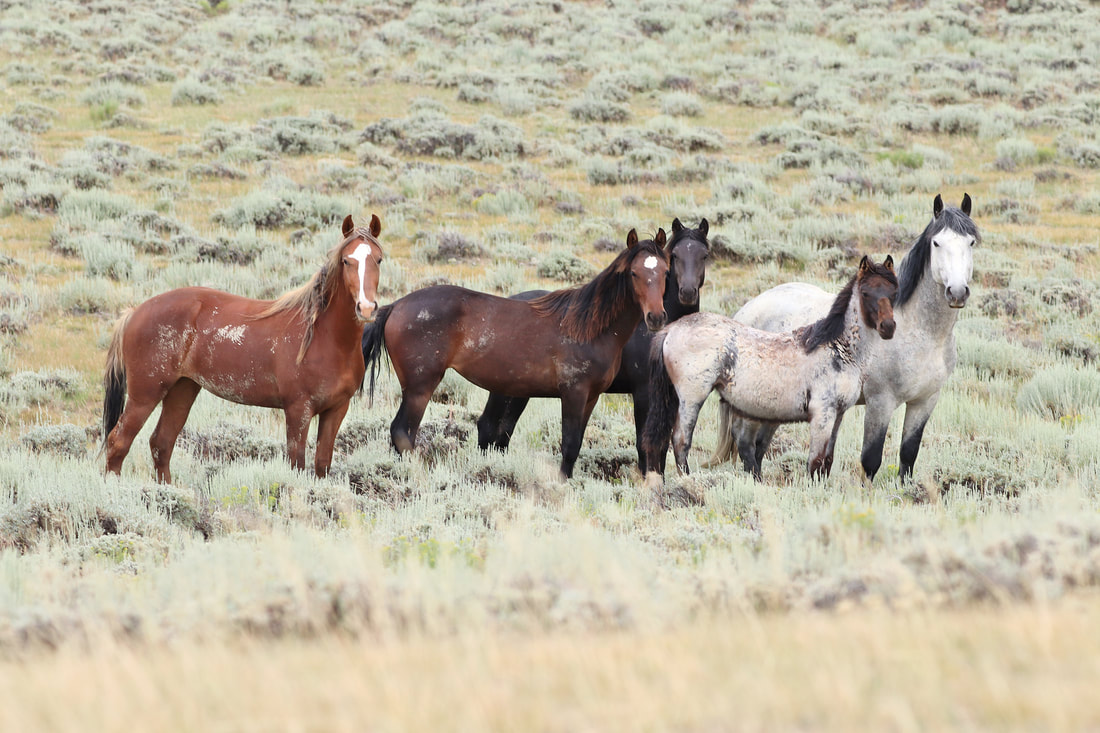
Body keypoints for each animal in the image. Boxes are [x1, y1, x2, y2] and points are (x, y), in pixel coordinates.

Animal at [103, 214, 385, 482]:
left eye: (379, 260)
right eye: (346, 261)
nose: (366, 308)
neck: (324, 338)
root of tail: (133, 313)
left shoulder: (336, 409)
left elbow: (322, 465)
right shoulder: (298, 410)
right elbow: (296, 464)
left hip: (182, 389)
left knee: (161, 443)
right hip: (145, 394)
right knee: (119, 442)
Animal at [363, 230, 668, 479]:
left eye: (665, 272)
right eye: (634, 273)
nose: (655, 317)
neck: (589, 328)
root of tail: (396, 306)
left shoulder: (591, 397)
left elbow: (577, 443)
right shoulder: (574, 393)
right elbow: (570, 444)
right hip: (420, 387)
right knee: (403, 432)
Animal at [477, 216, 708, 471]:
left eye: (704, 255)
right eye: (675, 255)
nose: (687, 292)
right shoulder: (642, 392)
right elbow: (644, 446)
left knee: (501, 433)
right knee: (488, 427)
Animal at [642, 254, 897, 482]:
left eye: (893, 292)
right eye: (865, 293)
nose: (888, 327)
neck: (837, 348)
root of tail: (671, 330)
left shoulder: (838, 415)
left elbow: (827, 461)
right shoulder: (822, 414)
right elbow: (815, 462)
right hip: (692, 397)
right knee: (681, 440)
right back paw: (688, 480)